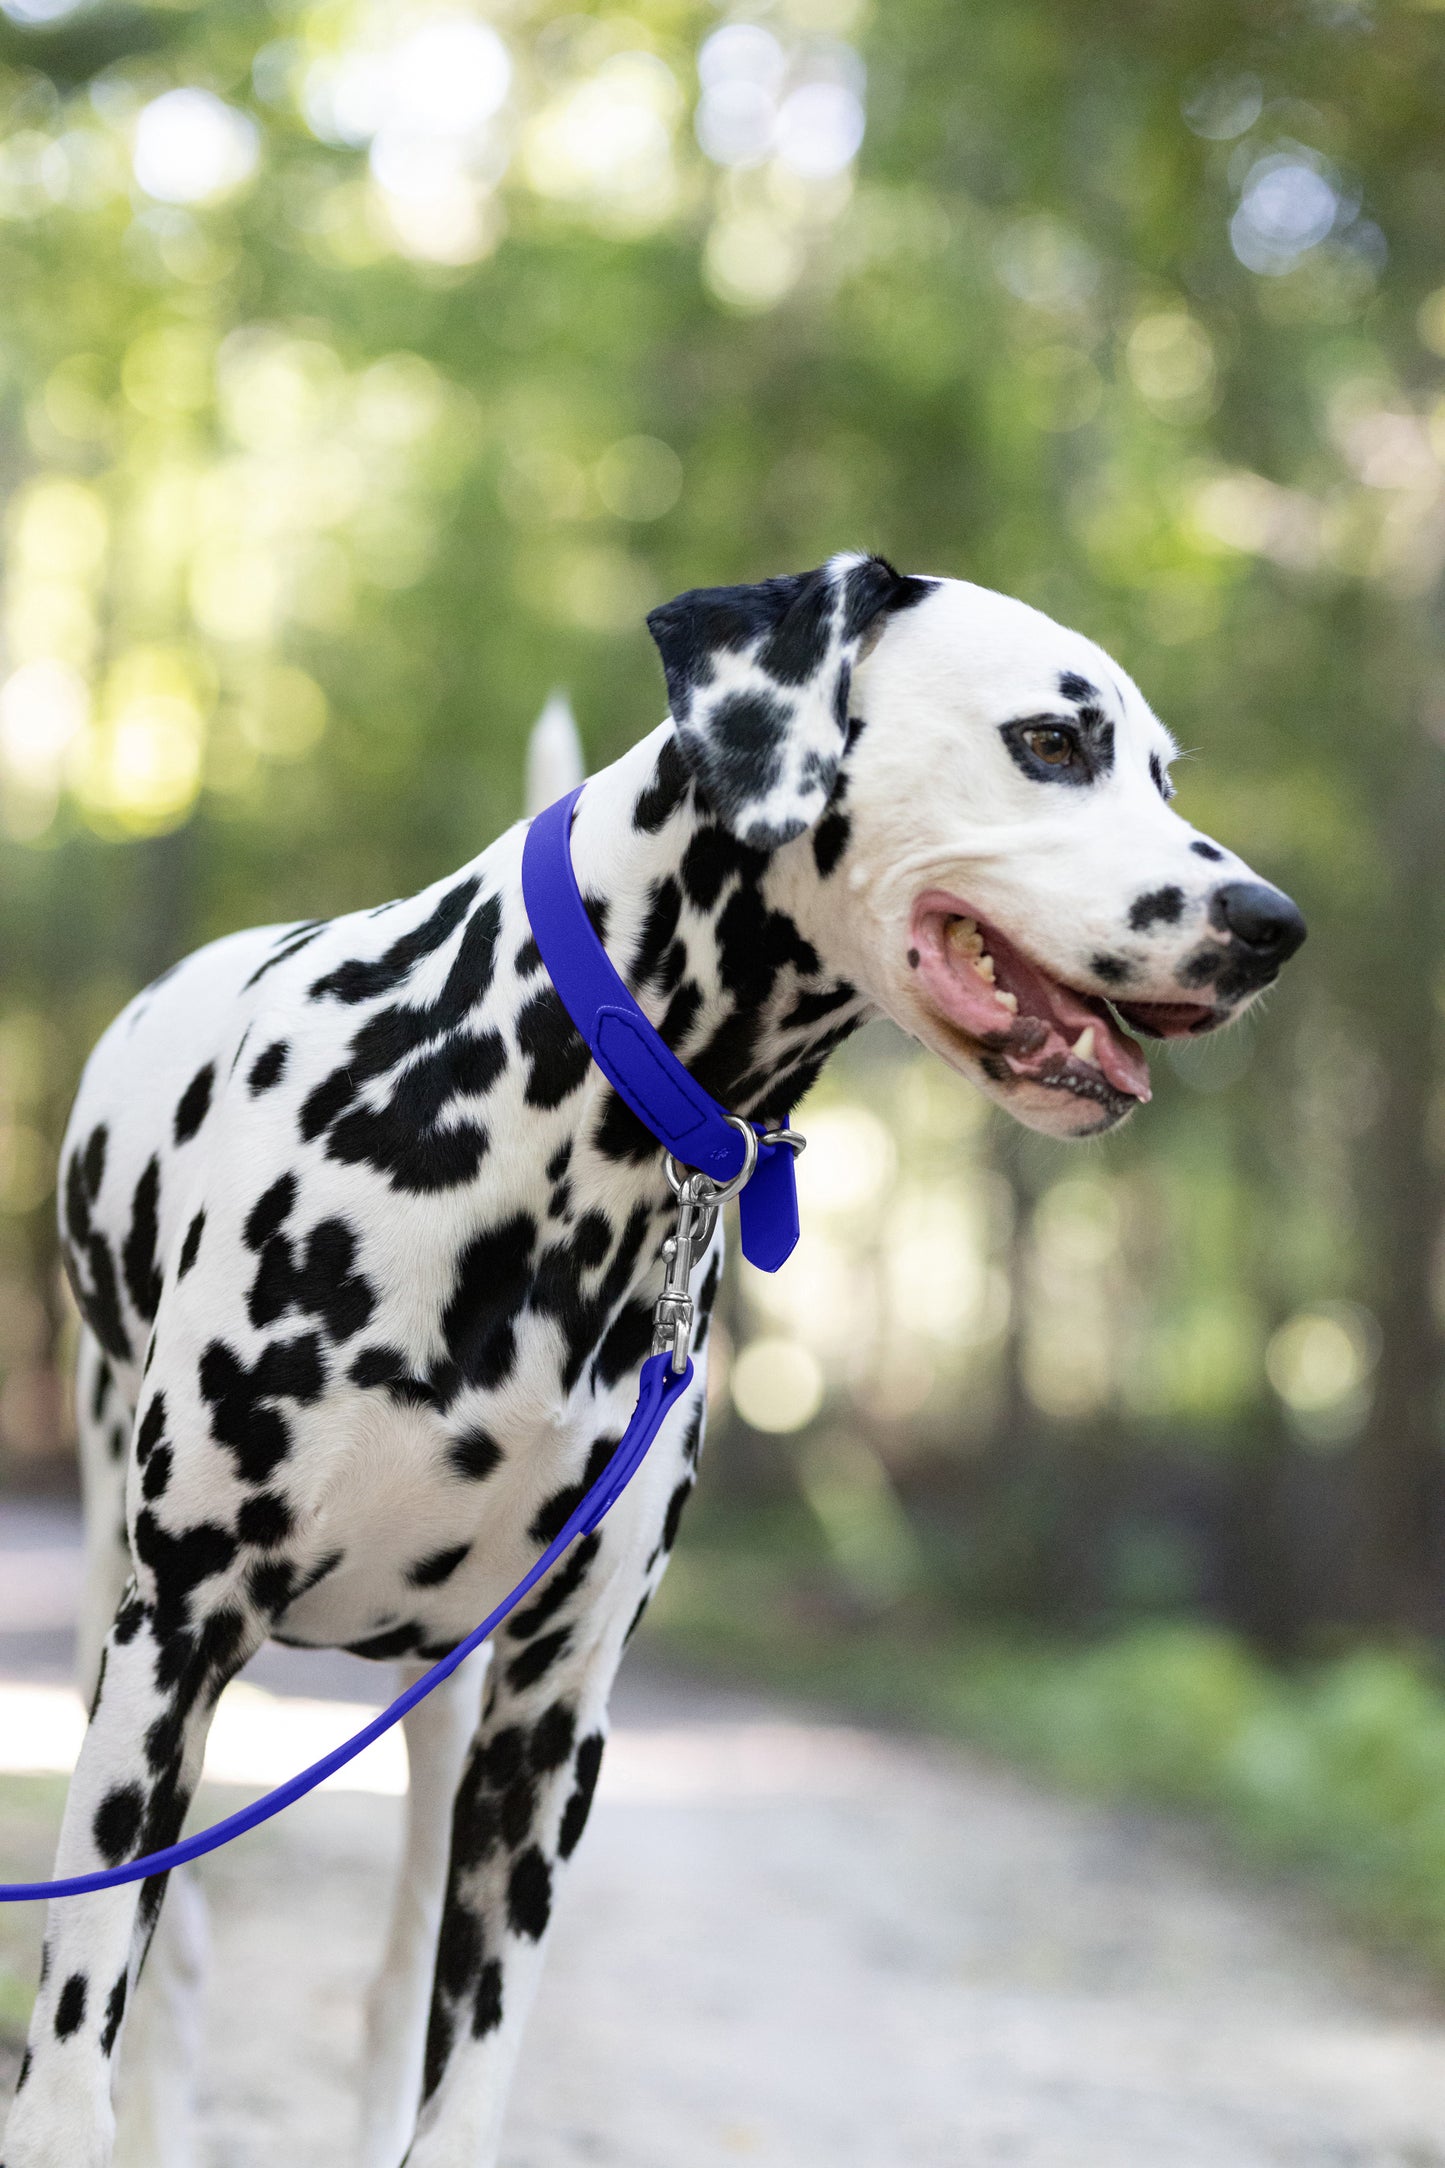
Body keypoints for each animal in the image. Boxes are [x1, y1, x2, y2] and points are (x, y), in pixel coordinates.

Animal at [2, 555, 1308, 2168]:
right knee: (169, 1987)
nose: (1271, 923)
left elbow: (462, 2083)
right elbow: (75, 2054)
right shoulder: (179, 1642)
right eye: (1053, 743)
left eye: (1162, 770)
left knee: (386, 2001)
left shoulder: (550, 1720)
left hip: (441, 1711)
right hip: (124, 1633)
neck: (546, 1122)